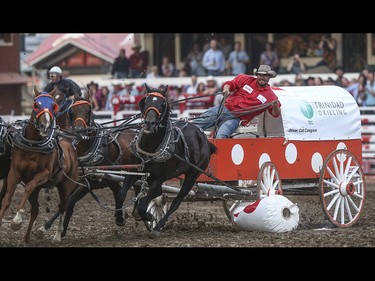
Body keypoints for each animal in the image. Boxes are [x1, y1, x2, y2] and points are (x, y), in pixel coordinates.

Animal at [0, 87, 79, 243]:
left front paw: (17, 220)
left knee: (62, 207)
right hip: (39, 189)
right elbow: (7, 199)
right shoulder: (14, 172)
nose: (45, 126)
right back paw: (26, 238)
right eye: (36, 105)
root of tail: (70, 146)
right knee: (36, 209)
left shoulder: (44, 174)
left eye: (53, 106)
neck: (33, 145)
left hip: (66, 187)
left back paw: (56, 236)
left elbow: (28, 187)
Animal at [40, 91, 142, 237]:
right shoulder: (82, 180)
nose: (79, 130)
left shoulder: (94, 183)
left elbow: (71, 200)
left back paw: (137, 213)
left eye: (88, 110)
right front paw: (51, 227)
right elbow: (67, 202)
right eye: (72, 111)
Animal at [119, 84, 219, 237]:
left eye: (162, 104)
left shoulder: (159, 178)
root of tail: (204, 138)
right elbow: (122, 193)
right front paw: (119, 218)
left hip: (192, 175)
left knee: (175, 202)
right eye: (146, 101)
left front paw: (149, 216)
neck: (151, 147)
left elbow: (144, 204)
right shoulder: (135, 170)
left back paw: (157, 227)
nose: (150, 123)